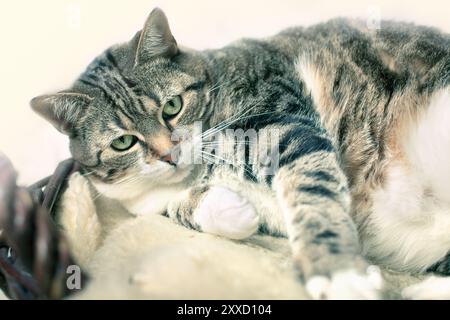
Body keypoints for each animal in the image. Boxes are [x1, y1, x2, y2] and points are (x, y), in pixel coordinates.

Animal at [30, 6, 450, 298]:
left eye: (172, 106)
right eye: (123, 142)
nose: (168, 154)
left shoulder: (282, 124)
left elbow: (311, 194)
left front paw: (339, 274)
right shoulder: (147, 204)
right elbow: (177, 208)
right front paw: (236, 213)